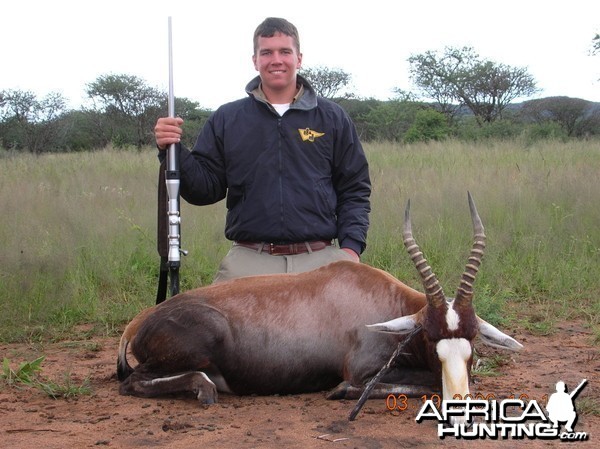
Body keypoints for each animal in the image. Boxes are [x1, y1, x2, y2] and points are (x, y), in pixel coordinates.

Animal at [117, 192, 520, 406]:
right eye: (429, 336)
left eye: (472, 339)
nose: (459, 400)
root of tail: (138, 322)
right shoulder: (361, 370)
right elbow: (412, 384)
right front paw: (341, 392)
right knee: (133, 382)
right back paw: (205, 389)